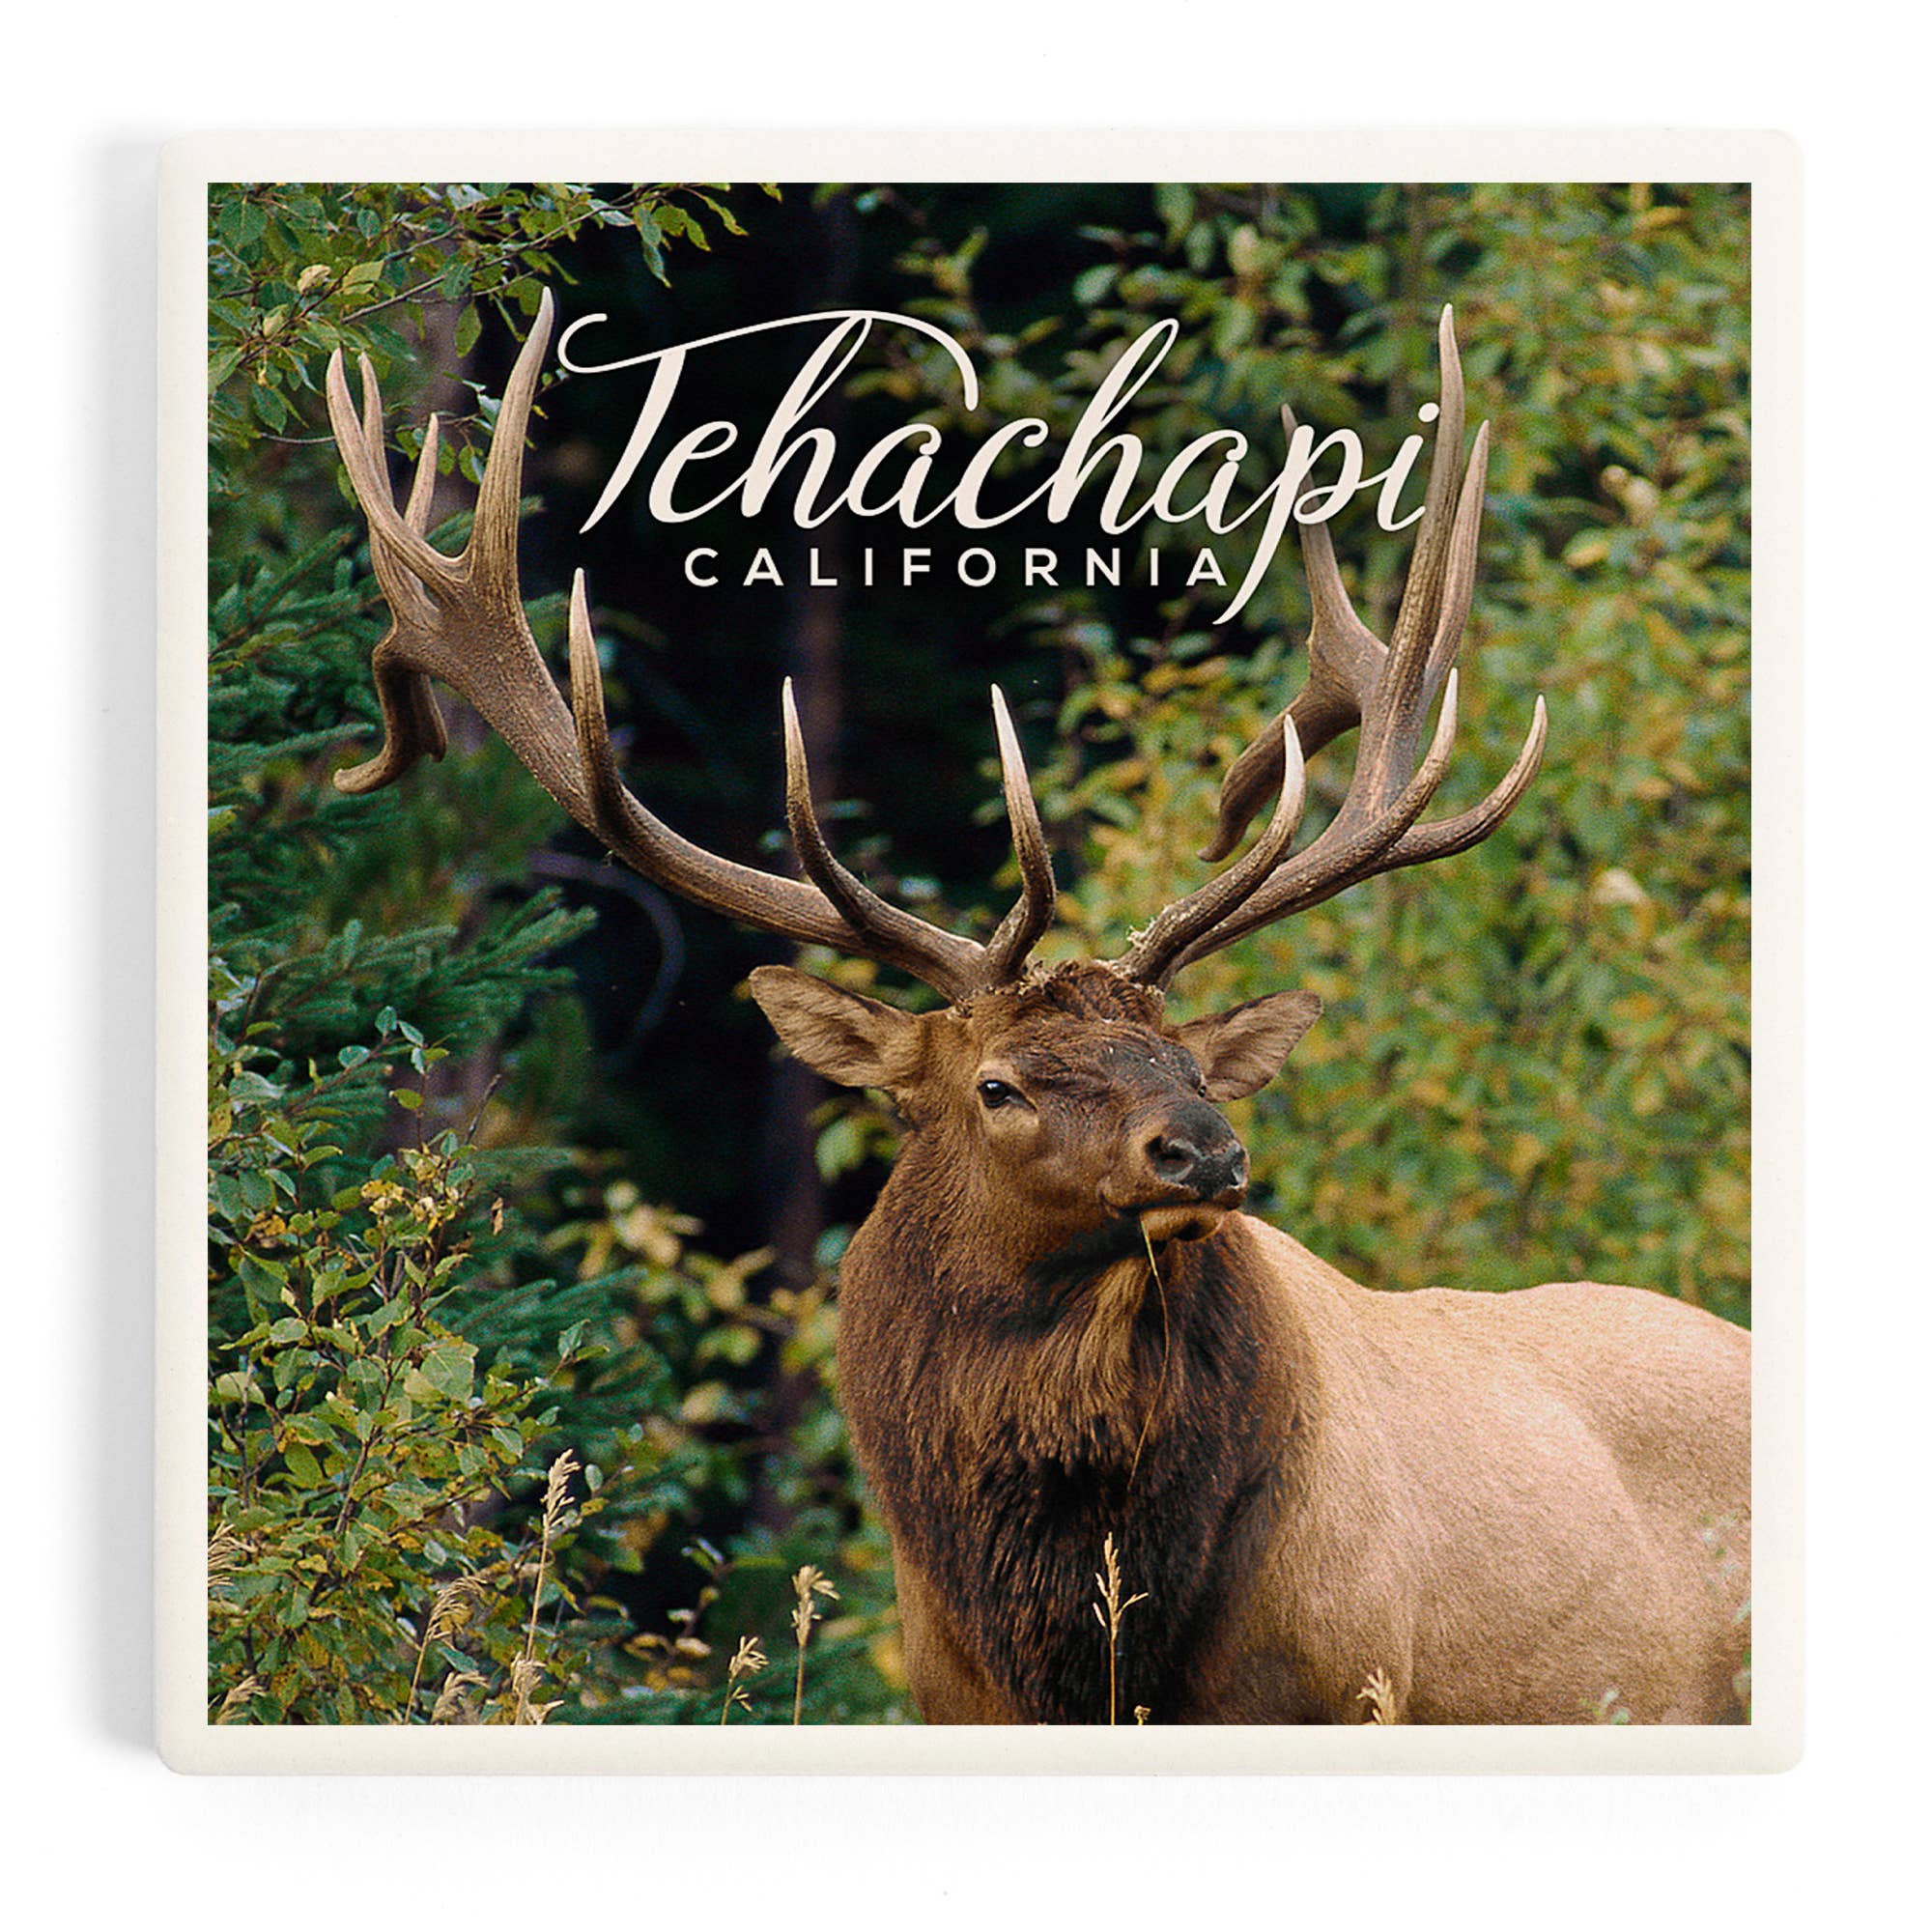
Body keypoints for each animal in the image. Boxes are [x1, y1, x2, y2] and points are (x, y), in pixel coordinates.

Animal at [318, 290, 1751, 1725]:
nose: (1205, 1151)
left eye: (1192, 1065)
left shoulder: (1348, 1684)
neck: (1069, 1638)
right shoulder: (950, 1695)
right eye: (995, 1085)